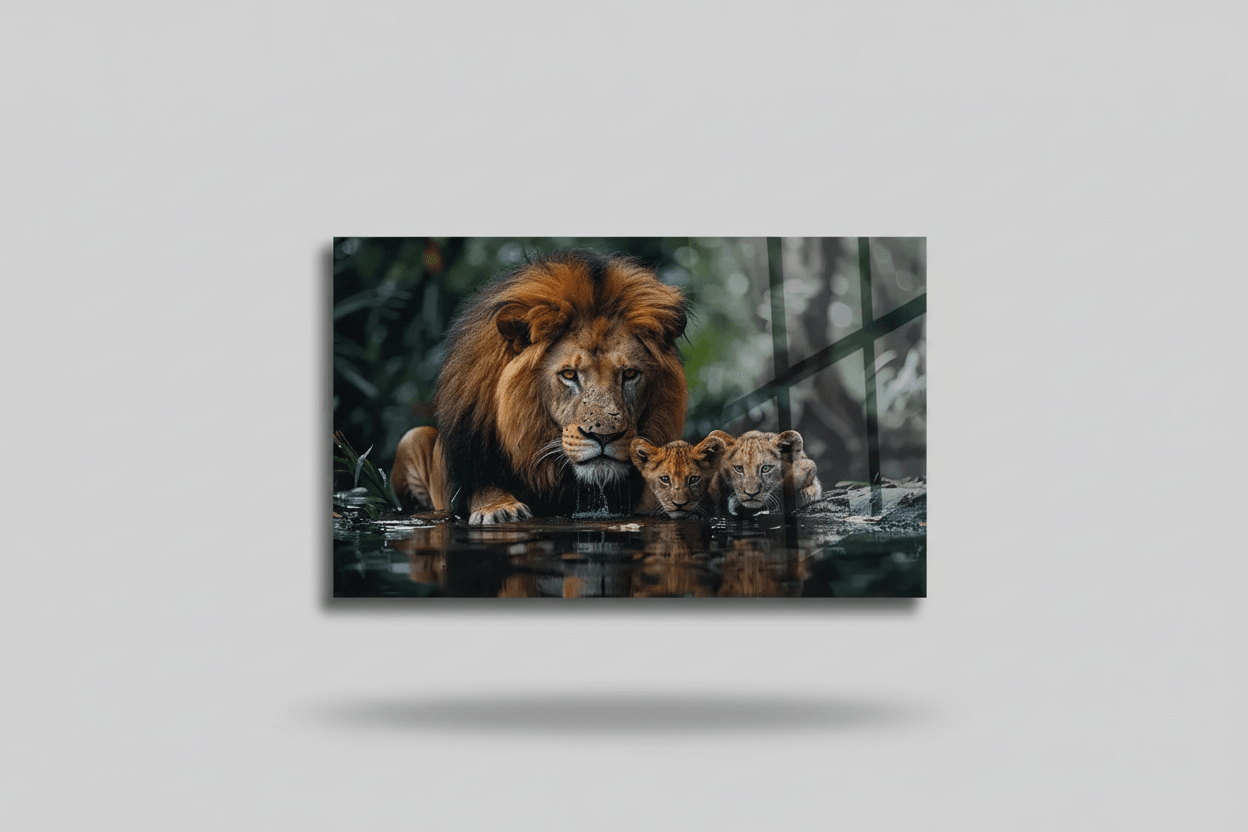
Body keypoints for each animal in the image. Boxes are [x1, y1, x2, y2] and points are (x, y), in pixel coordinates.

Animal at [392, 250, 688, 524]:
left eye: (629, 374)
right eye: (569, 374)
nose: (604, 437)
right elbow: (483, 488)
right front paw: (500, 509)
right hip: (412, 438)